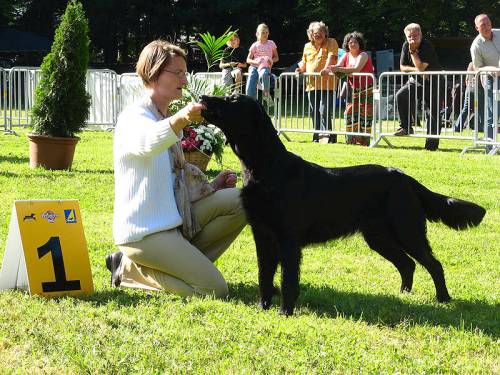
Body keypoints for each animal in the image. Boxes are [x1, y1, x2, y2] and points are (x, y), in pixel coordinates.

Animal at [199, 94, 484, 318]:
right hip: (378, 236)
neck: (266, 167)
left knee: (433, 264)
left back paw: (443, 299)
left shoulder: (288, 239)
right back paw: (404, 295)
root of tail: (404, 177)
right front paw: (263, 307)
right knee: (407, 264)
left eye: (232, 100)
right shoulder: (262, 234)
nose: (202, 98)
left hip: (407, 230)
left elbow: (287, 279)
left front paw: (285, 312)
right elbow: (264, 276)